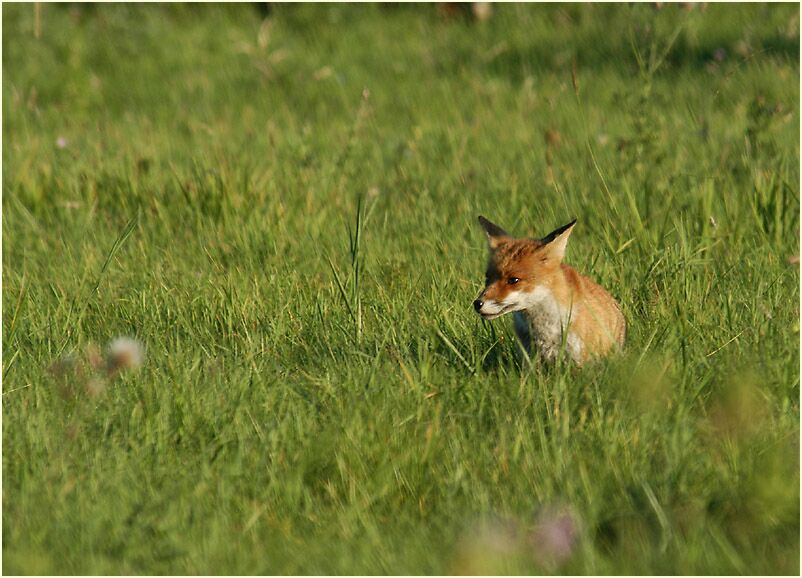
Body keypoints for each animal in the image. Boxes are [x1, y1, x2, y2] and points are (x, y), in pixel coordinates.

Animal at [473, 216, 625, 365]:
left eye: (514, 280)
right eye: (488, 278)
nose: (477, 303)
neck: (545, 332)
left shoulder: (580, 361)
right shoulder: (530, 361)